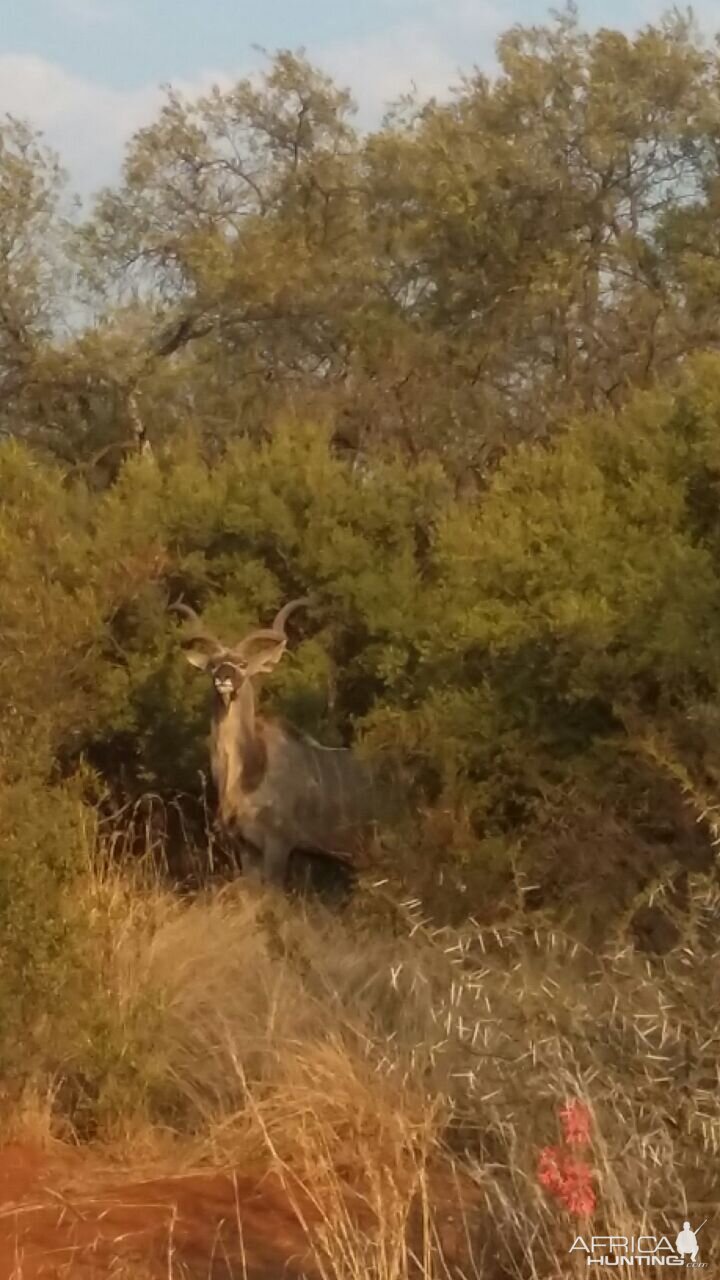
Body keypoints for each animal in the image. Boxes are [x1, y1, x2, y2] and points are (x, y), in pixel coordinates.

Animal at [171, 596, 392, 880]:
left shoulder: (279, 845)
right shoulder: (247, 848)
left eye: (243, 664)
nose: (223, 677)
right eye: (212, 665)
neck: (250, 771)